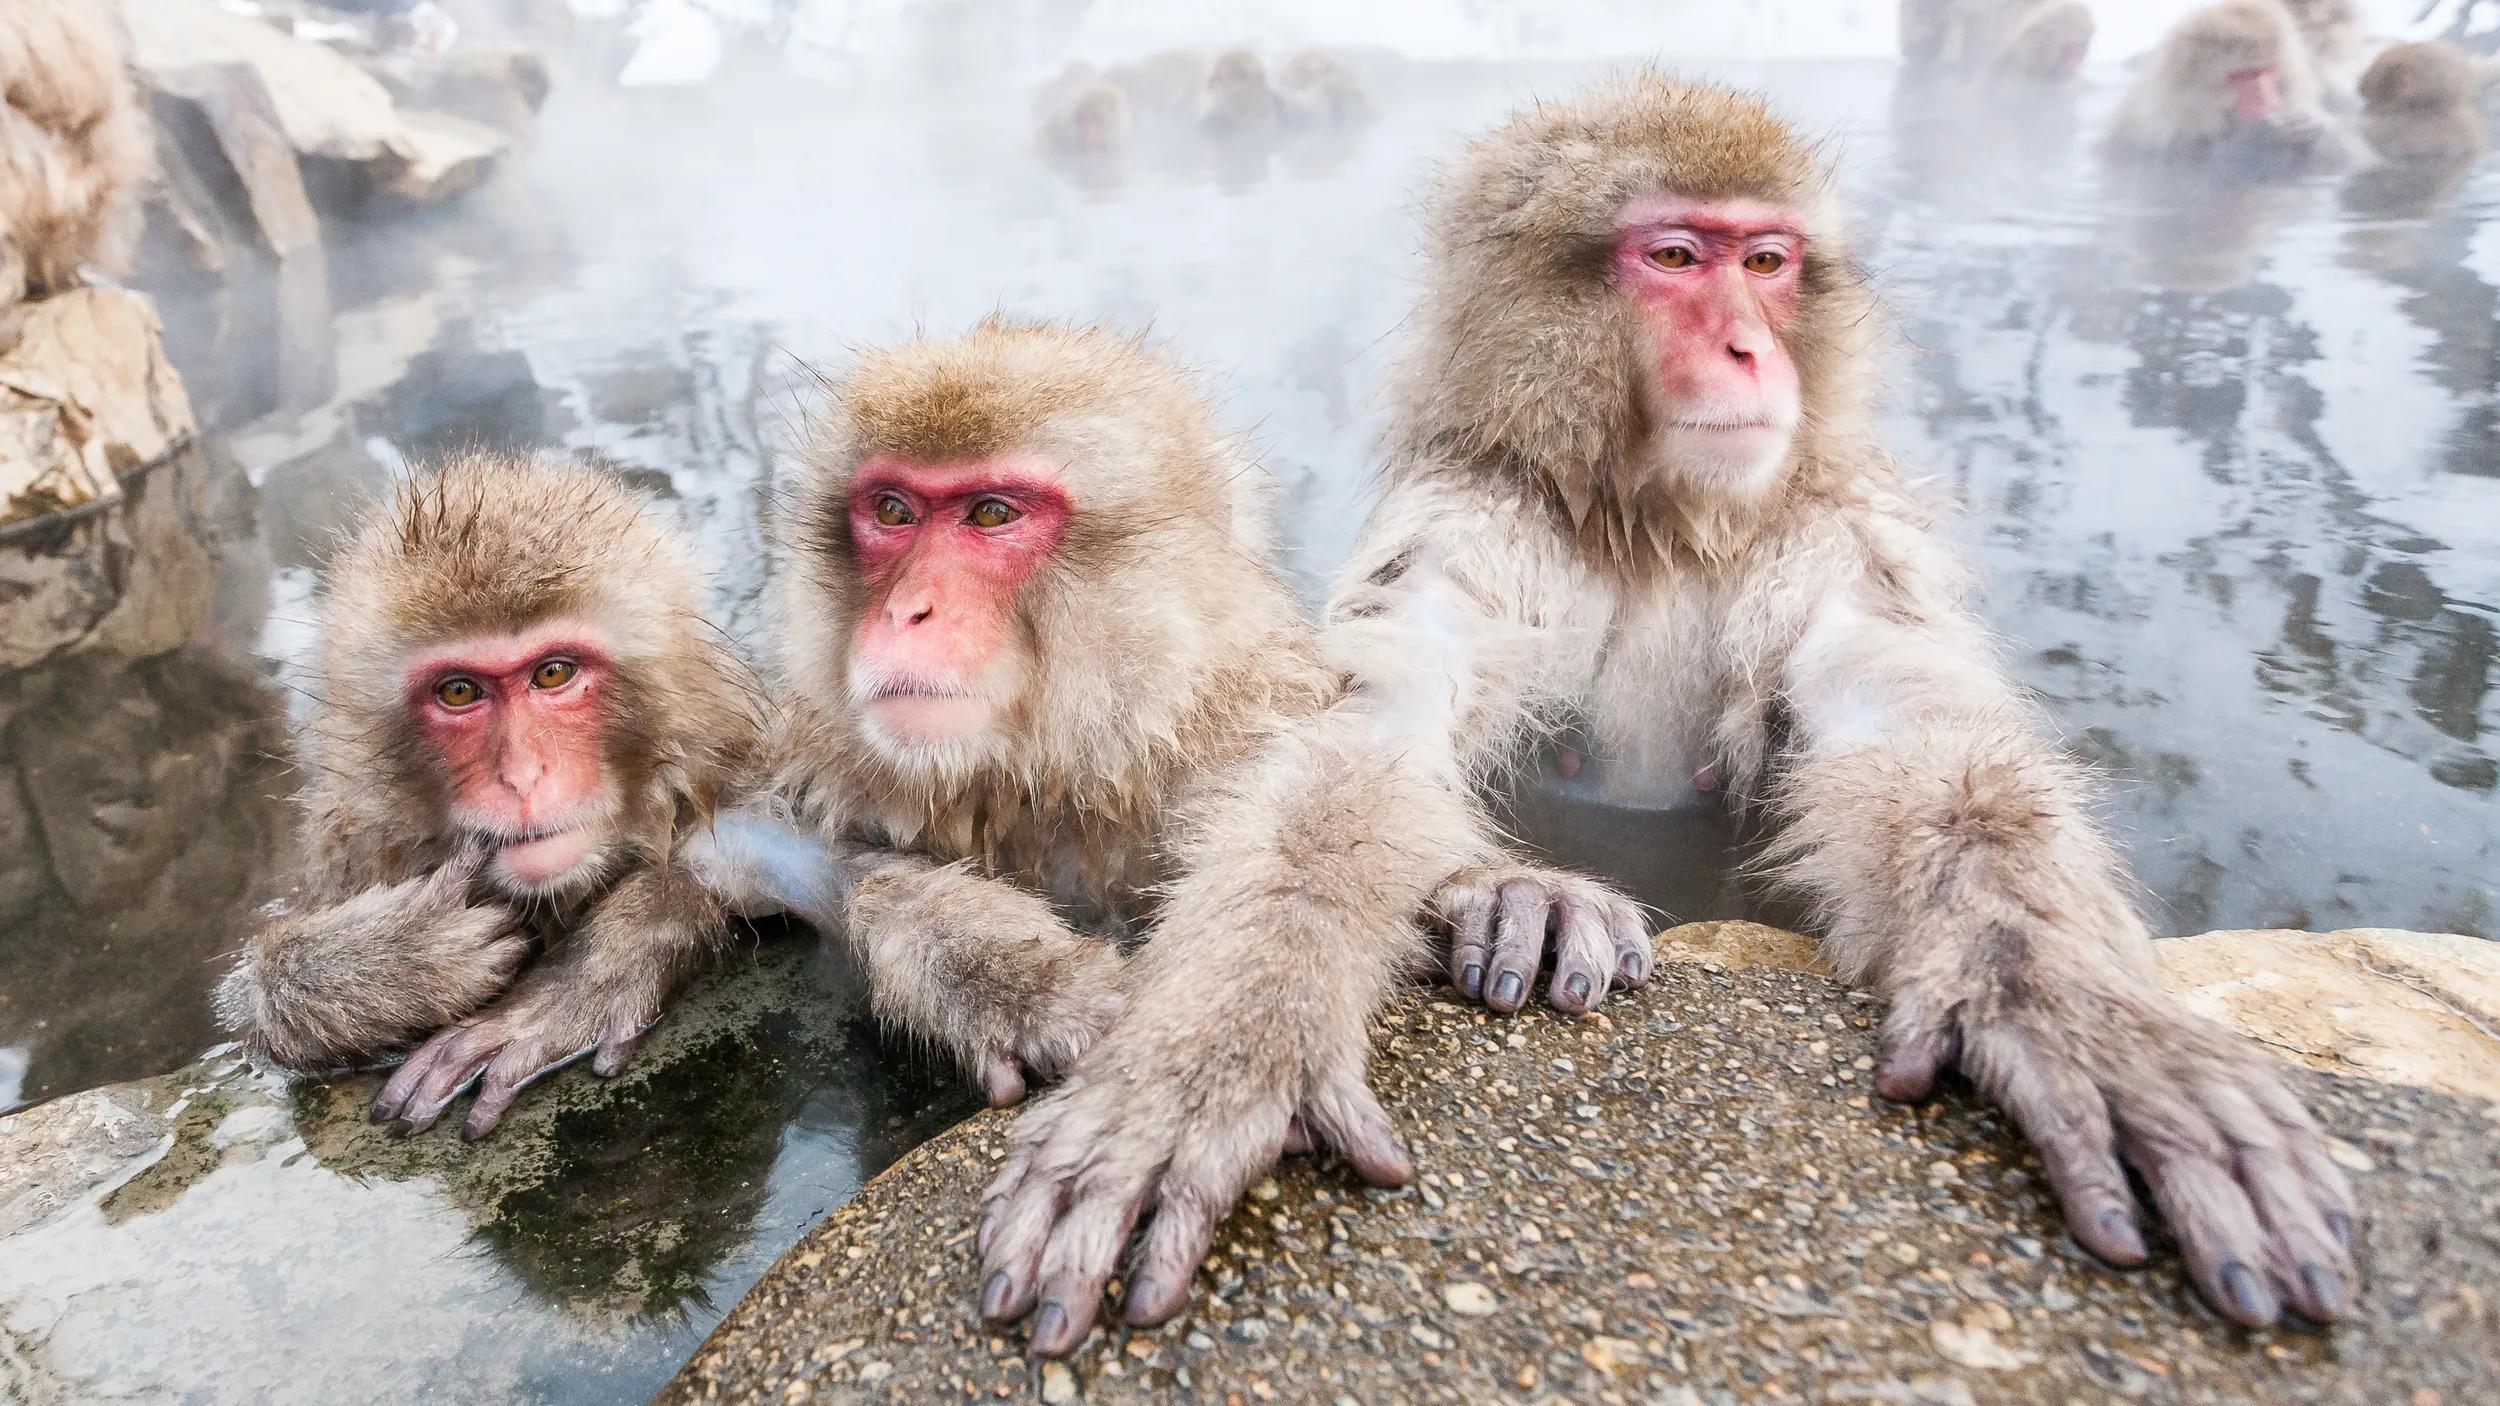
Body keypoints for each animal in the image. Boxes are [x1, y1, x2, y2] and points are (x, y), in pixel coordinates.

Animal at [686, 319, 1631, 1357]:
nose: (904, 610)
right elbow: (719, 843)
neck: (1050, 764)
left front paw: (1206, 1055)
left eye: (990, 514)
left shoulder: (1233, 723)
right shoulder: (817, 751)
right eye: (892, 509)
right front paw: (1029, 988)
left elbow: (1330, 786)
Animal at [1316, 74, 2357, 1332]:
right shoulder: (1466, 517)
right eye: (1674, 256)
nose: (1749, 347)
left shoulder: (1836, 532)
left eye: (1766, 260)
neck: (1658, 527)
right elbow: (1376, 722)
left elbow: (1916, 743)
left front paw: (2063, 1000)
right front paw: (1511, 893)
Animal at [2106, 1, 2362, 172]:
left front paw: (2313, 121)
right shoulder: (2164, 138)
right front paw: (2262, 134)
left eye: (2267, 71)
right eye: (2243, 76)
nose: (2269, 101)